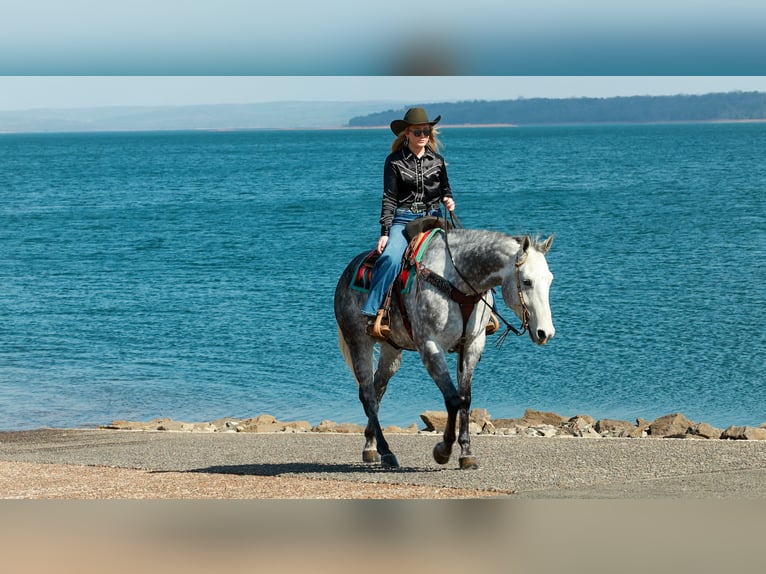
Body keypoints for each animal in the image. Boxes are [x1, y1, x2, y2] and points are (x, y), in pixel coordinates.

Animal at [333, 226, 554, 469]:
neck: (458, 282)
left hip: (392, 350)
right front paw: (444, 450)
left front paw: (466, 452)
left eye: (550, 280)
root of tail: (348, 271)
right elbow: (452, 399)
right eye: (527, 281)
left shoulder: (472, 344)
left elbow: (465, 399)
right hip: (359, 342)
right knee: (368, 395)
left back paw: (371, 446)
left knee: (377, 389)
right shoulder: (430, 346)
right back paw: (386, 451)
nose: (545, 332)